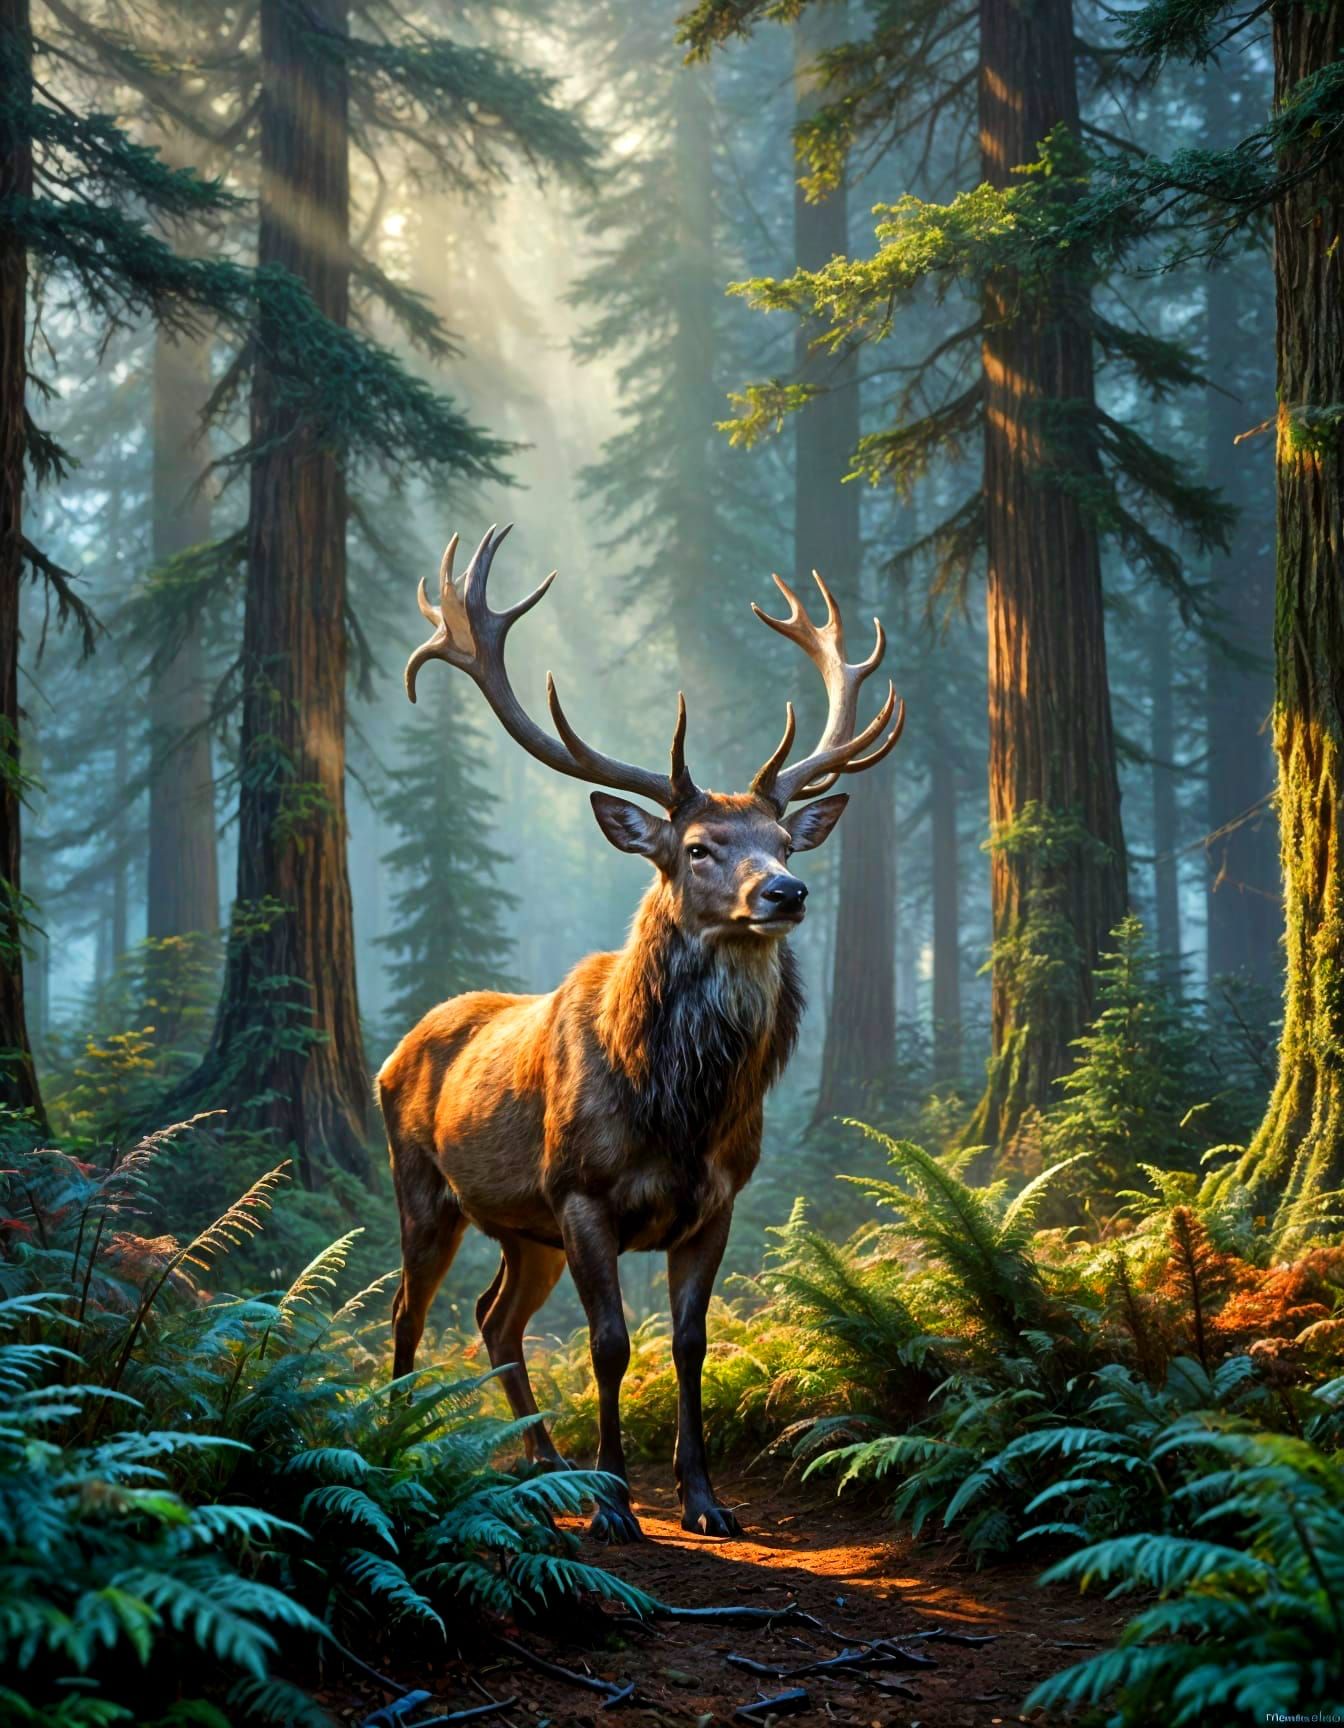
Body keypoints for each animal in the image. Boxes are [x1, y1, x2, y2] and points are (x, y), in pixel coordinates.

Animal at [376, 524, 903, 1543]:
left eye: (785, 842)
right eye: (698, 848)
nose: (786, 893)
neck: (679, 1110)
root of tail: (399, 1045)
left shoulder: (718, 1199)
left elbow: (691, 1344)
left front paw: (703, 1500)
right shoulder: (581, 1192)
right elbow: (612, 1344)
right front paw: (616, 1504)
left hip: (524, 1230)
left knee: (494, 1318)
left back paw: (541, 1469)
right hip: (428, 1191)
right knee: (407, 1312)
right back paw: (399, 1449)